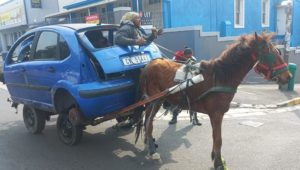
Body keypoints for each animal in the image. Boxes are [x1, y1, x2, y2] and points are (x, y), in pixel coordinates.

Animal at [135, 32, 292, 169]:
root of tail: (149, 65)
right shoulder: (217, 114)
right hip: (156, 101)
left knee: (147, 121)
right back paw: (152, 151)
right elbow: (218, 139)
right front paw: (218, 162)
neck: (221, 76)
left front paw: (215, 156)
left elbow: (215, 137)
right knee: (148, 124)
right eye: (271, 53)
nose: (288, 76)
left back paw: (149, 143)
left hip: (153, 102)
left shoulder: (215, 115)